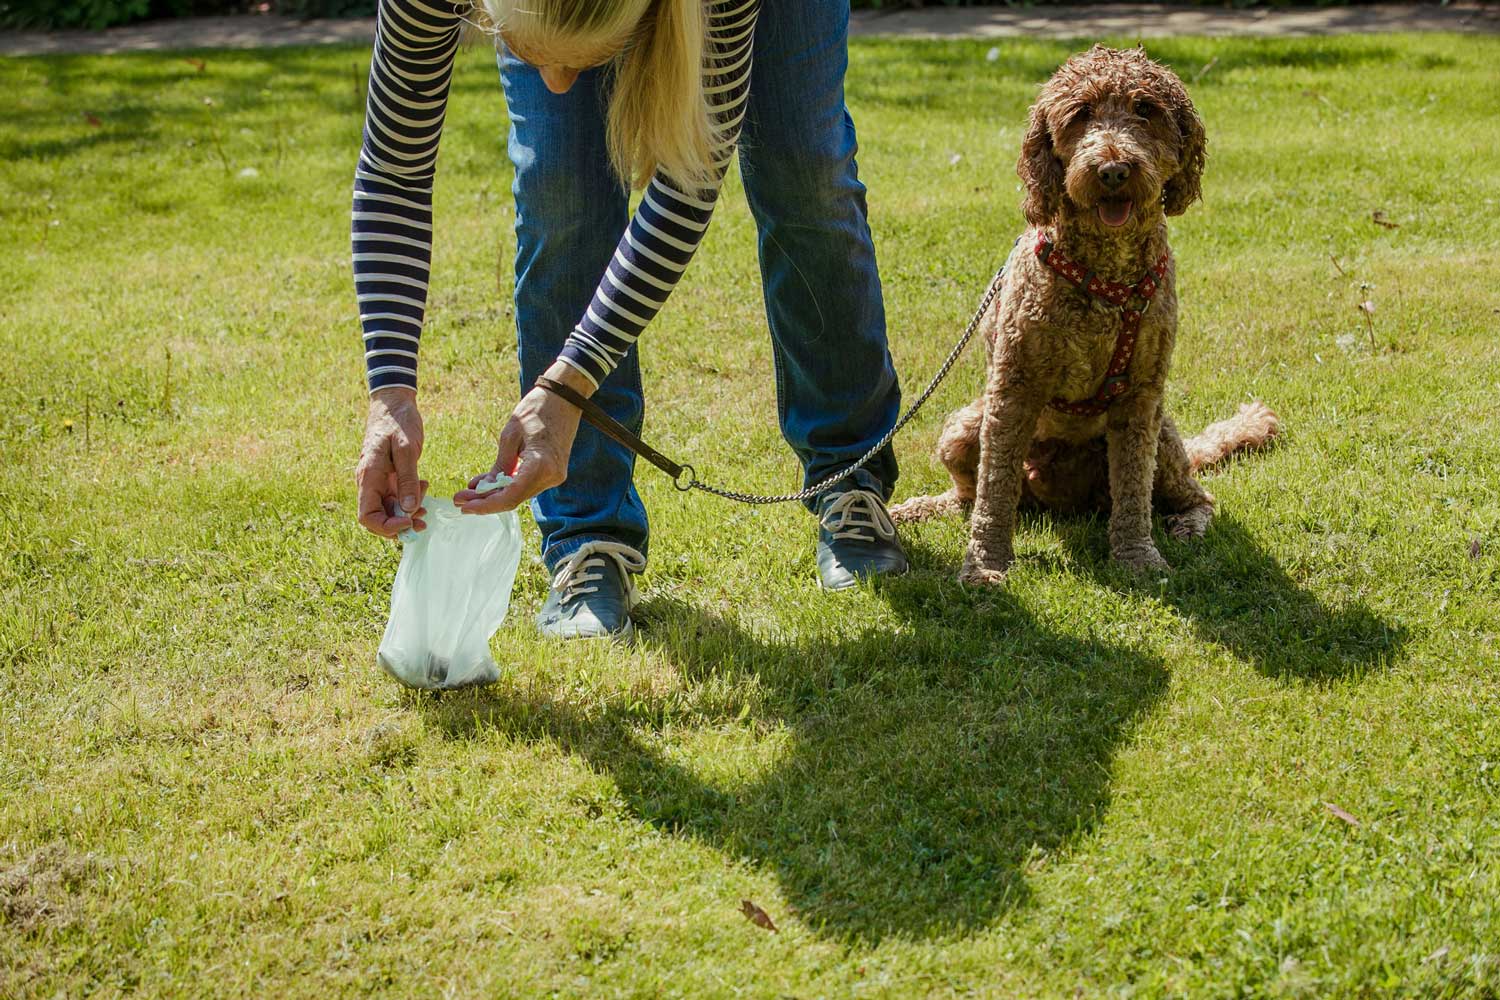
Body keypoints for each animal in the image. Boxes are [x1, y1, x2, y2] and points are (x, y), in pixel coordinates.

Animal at [888, 43, 1278, 581]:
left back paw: (1187, 524)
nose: (1113, 170)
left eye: (1145, 110)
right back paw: (917, 509)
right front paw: (985, 566)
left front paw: (1137, 557)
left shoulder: (1141, 398)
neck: (1106, 279)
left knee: (1196, 495)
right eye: (1080, 114)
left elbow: (1133, 490)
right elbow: (994, 489)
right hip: (963, 428)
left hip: (1163, 440)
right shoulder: (1012, 390)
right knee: (969, 496)